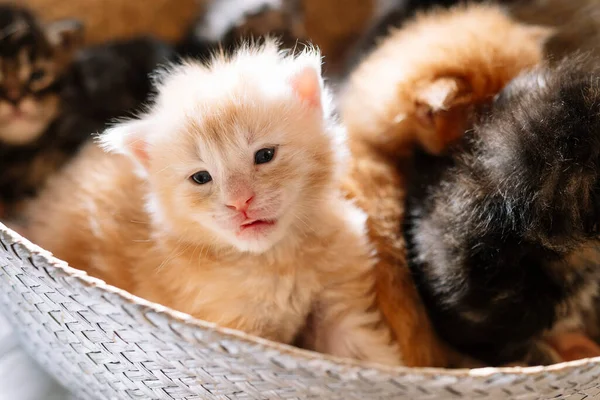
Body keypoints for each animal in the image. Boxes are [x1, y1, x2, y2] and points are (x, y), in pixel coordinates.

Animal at [27, 40, 404, 366]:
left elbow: (370, 358)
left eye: (264, 156)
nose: (240, 202)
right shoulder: (237, 336)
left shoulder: (341, 305)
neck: (277, 261)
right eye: (201, 178)